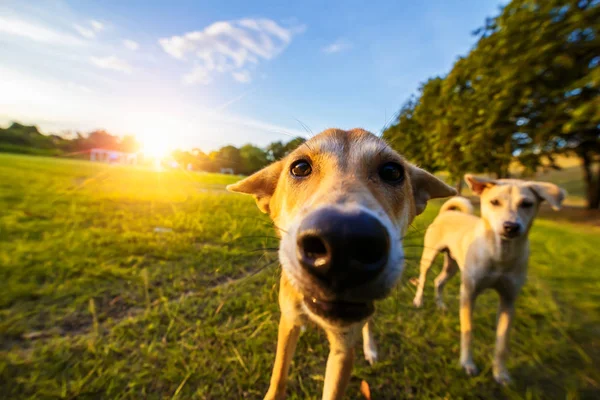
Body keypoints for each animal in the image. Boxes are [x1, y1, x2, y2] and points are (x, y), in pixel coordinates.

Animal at [227, 129, 452, 400]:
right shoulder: (288, 322)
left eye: (392, 171)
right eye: (300, 167)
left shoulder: (343, 349)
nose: (344, 240)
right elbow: (279, 375)